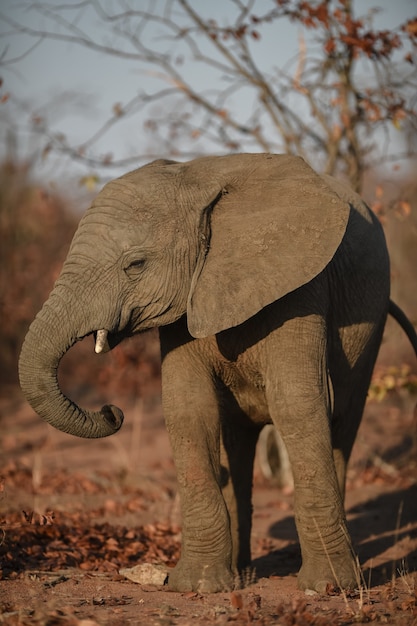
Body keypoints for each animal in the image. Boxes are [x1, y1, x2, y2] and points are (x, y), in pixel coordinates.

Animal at [17, 151, 416, 588]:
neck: (197, 182)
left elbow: (296, 404)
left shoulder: (302, 287)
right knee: (237, 442)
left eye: (135, 265)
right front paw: (199, 586)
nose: (112, 411)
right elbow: (189, 410)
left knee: (344, 418)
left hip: (370, 324)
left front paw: (328, 588)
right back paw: (242, 574)